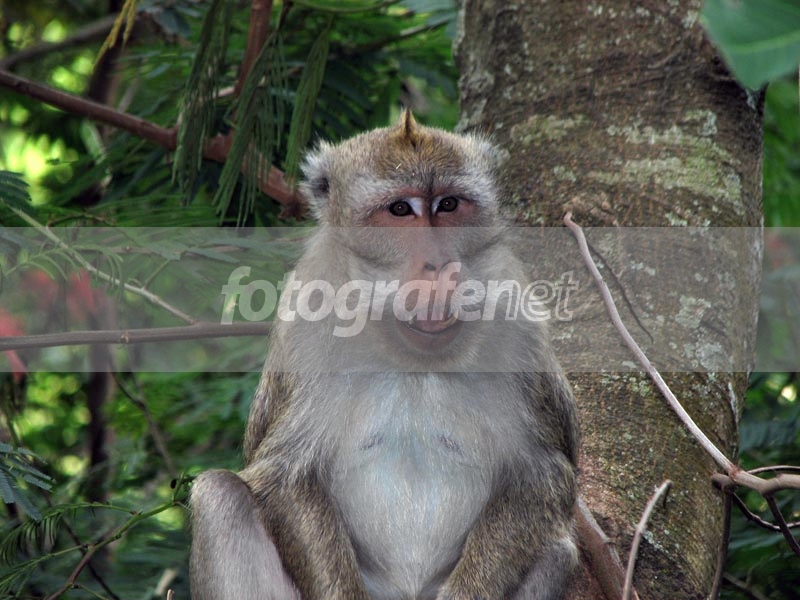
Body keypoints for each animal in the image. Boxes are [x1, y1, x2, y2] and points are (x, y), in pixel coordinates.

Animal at [190, 111, 580, 600]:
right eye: (399, 210)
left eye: (449, 205)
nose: (437, 263)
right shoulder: (306, 325)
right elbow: (286, 475)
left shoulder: (519, 325)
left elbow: (542, 475)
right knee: (219, 495)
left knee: (557, 550)